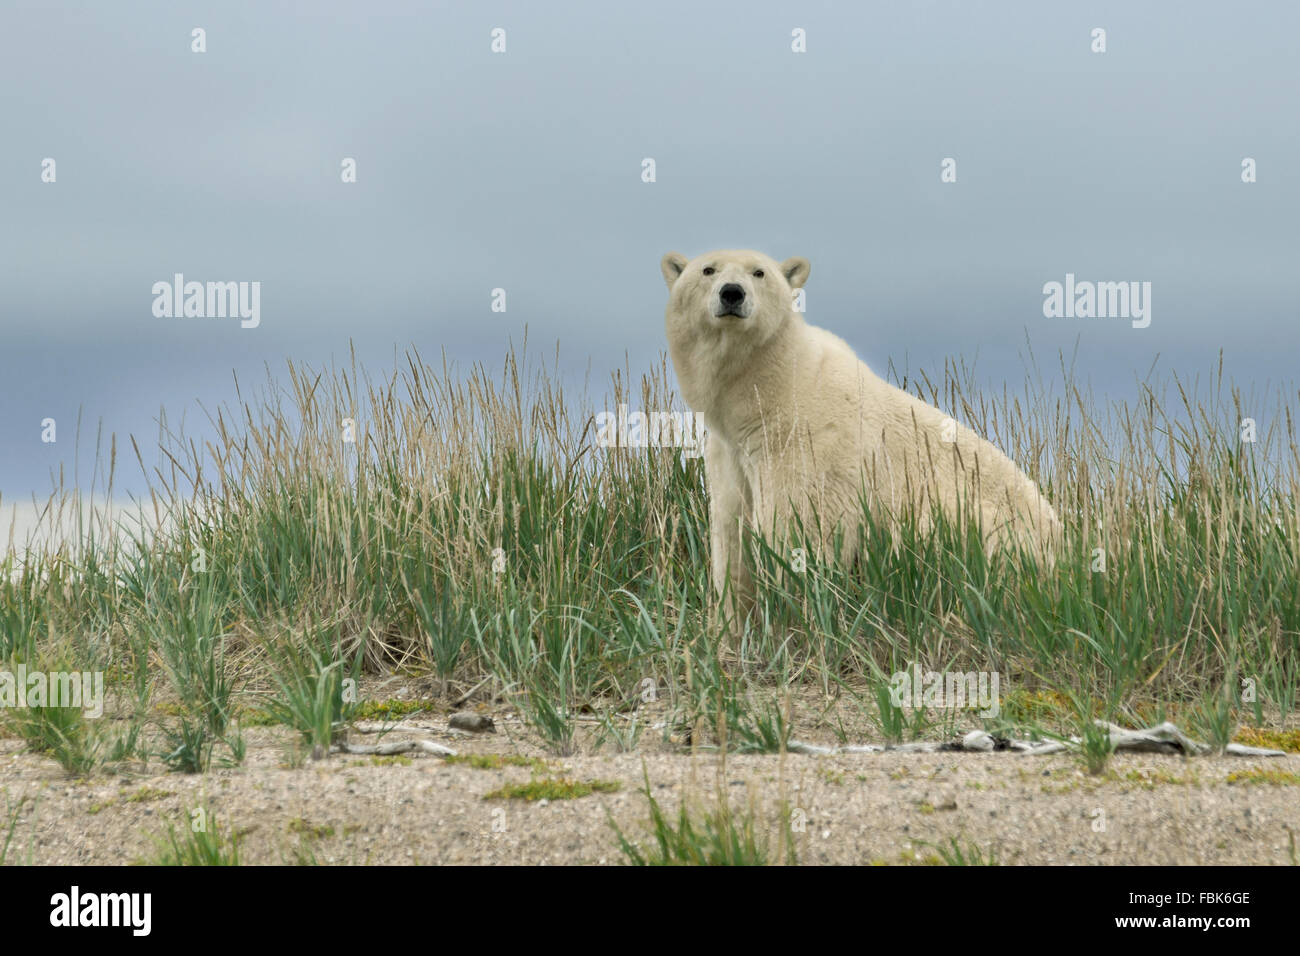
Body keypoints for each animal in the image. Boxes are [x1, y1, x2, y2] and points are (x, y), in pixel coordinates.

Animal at [660, 251, 1055, 616]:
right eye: (707, 269)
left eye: (759, 272)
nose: (732, 293)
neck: (770, 388)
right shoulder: (731, 452)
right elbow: (732, 534)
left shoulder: (804, 444)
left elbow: (798, 529)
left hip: (987, 528)